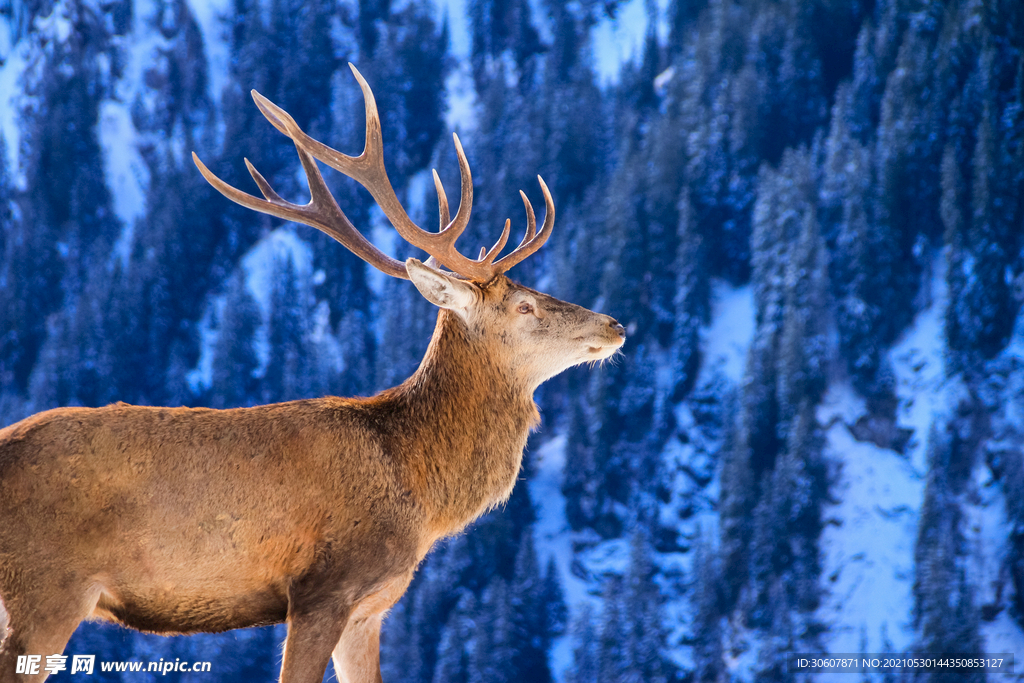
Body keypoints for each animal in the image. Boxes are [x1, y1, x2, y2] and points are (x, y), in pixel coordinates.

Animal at [0, 63, 622, 683]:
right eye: (525, 306)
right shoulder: (325, 587)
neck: (416, 485)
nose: (615, 323)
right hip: (46, 587)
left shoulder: (371, 608)